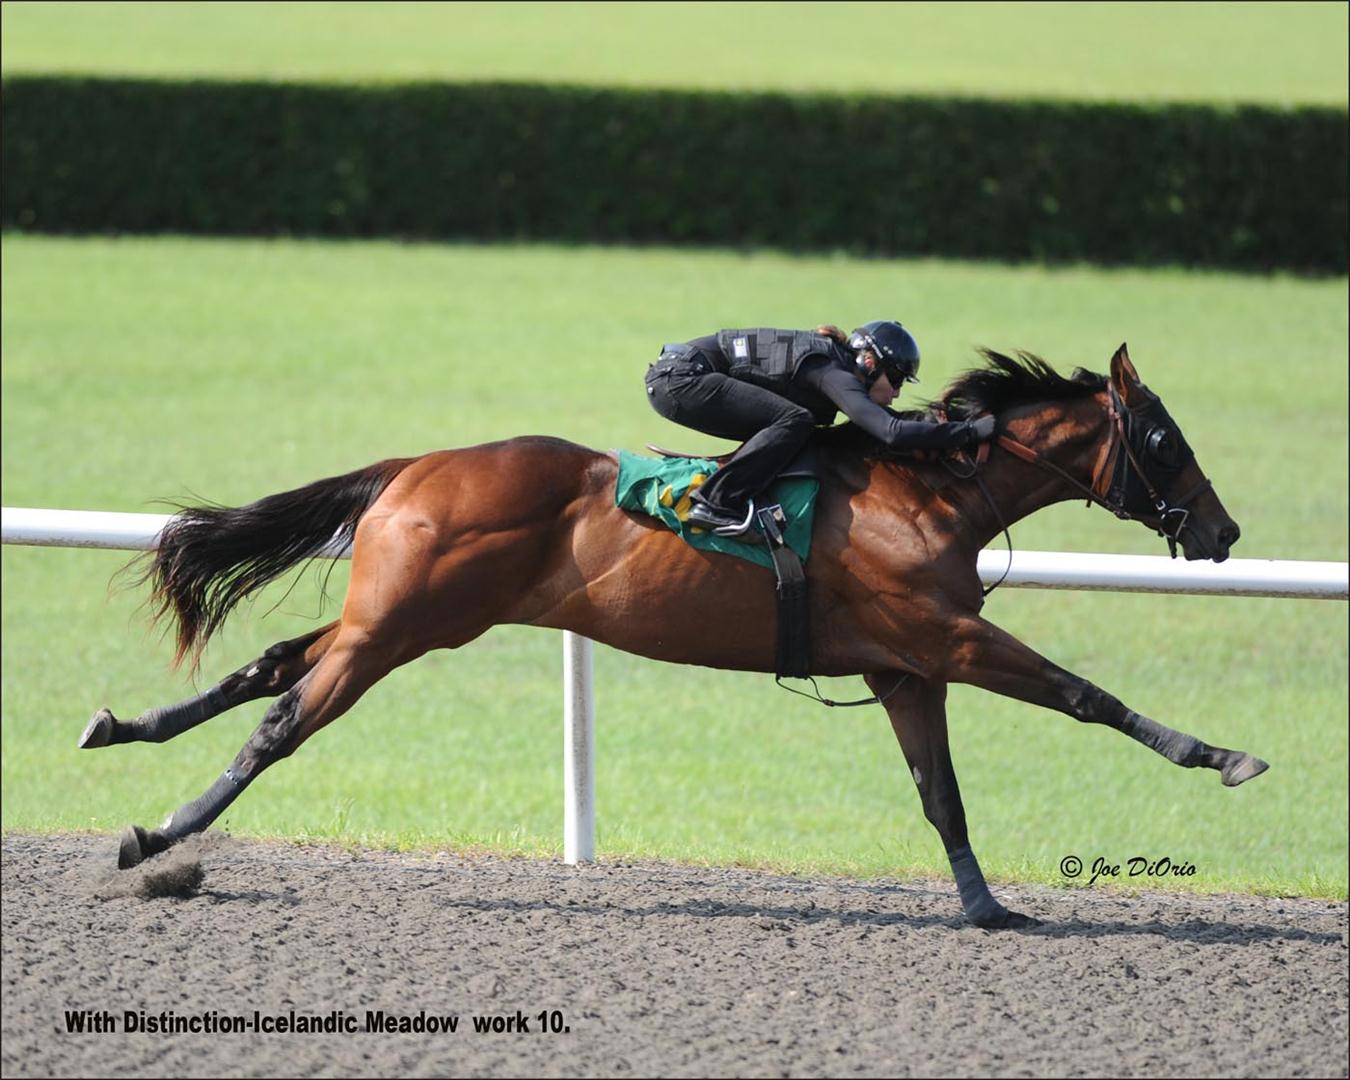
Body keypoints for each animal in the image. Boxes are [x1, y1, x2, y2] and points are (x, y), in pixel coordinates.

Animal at [84, 345, 1263, 928]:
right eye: (1164, 437)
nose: (1224, 532)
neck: (929, 495)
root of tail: (415, 465)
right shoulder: (950, 639)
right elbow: (1084, 694)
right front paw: (1221, 755)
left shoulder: (903, 670)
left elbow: (943, 798)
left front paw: (987, 908)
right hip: (399, 628)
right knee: (285, 715)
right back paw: (157, 832)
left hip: (405, 615)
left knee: (269, 665)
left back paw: (122, 730)